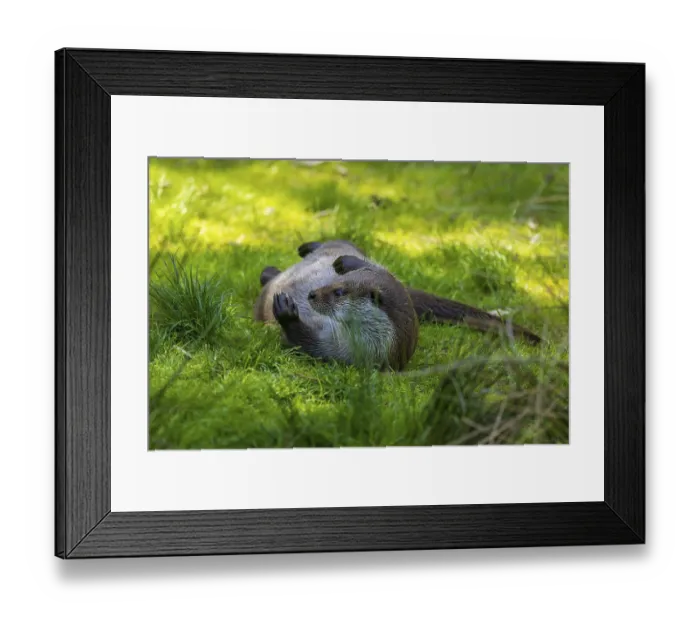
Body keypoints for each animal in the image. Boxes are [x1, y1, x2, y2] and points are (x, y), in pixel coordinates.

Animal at [254, 240, 541, 370]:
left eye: (338, 292)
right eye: (339, 282)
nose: (312, 295)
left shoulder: (341, 352)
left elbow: (305, 342)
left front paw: (287, 311)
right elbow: (385, 274)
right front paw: (344, 263)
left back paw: (269, 274)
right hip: (338, 244)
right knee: (340, 243)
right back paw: (305, 249)